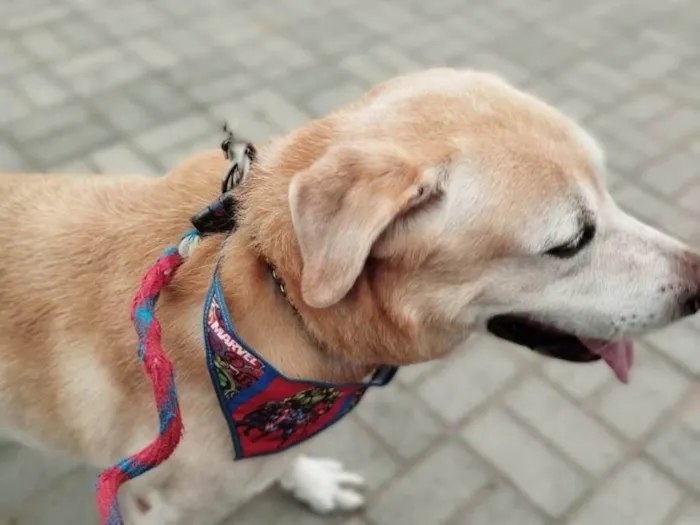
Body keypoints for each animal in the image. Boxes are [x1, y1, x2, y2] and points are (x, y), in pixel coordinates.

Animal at [1, 67, 700, 520]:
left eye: (608, 190)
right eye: (571, 241)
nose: (698, 286)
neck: (276, 297)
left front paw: (309, 481)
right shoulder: (154, 503)